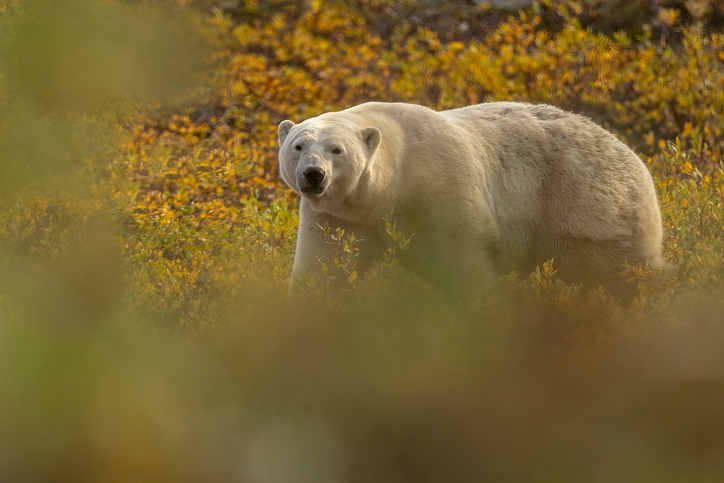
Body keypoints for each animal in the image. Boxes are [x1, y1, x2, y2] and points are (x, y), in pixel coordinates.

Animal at [277, 102, 664, 300]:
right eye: (298, 145)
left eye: (337, 149)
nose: (314, 175)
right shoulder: (343, 215)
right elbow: (324, 263)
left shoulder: (440, 189)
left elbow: (463, 258)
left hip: (587, 210)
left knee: (617, 270)